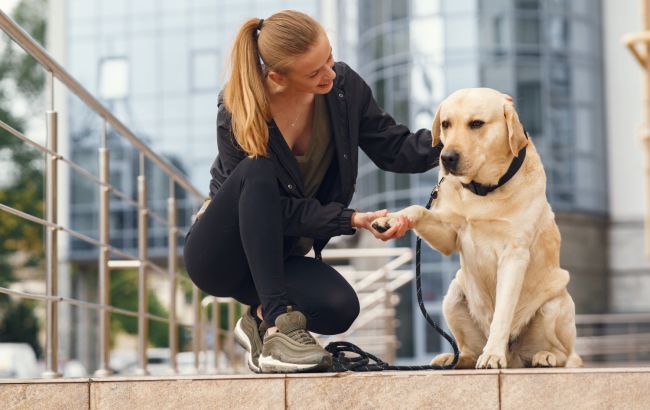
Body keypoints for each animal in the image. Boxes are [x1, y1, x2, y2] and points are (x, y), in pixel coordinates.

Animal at [372, 88, 580, 370]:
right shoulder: (450, 235)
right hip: (453, 295)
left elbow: (502, 313)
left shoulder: (514, 254)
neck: (483, 190)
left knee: (564, 353)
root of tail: (514, 356)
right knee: (468, 350)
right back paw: (453, 358)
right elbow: (417, 209)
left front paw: (492, 354)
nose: (447, 157)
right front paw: (393, 220)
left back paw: (544, 356)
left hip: (554, 305)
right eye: (446, 124)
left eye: (476, 124)